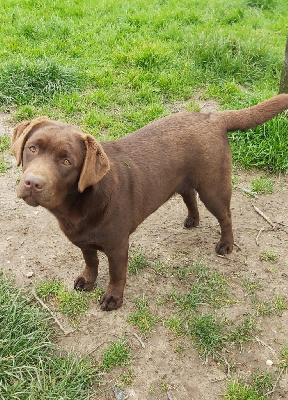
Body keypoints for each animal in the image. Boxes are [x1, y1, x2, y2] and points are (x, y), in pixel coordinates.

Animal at [11, 94, 288, 310]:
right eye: (32, 148)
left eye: (67, 161)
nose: (33, 183)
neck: (76, 207)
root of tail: (212, 116)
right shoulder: (84, 242)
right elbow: (91, 263)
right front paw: (87, 281)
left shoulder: (118, 246)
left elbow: (116, 274)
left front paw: (113, 299)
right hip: (183, 180)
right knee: (189, 196)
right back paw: (192, 219)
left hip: (213, 188)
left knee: (226, 216)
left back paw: (226, 245)